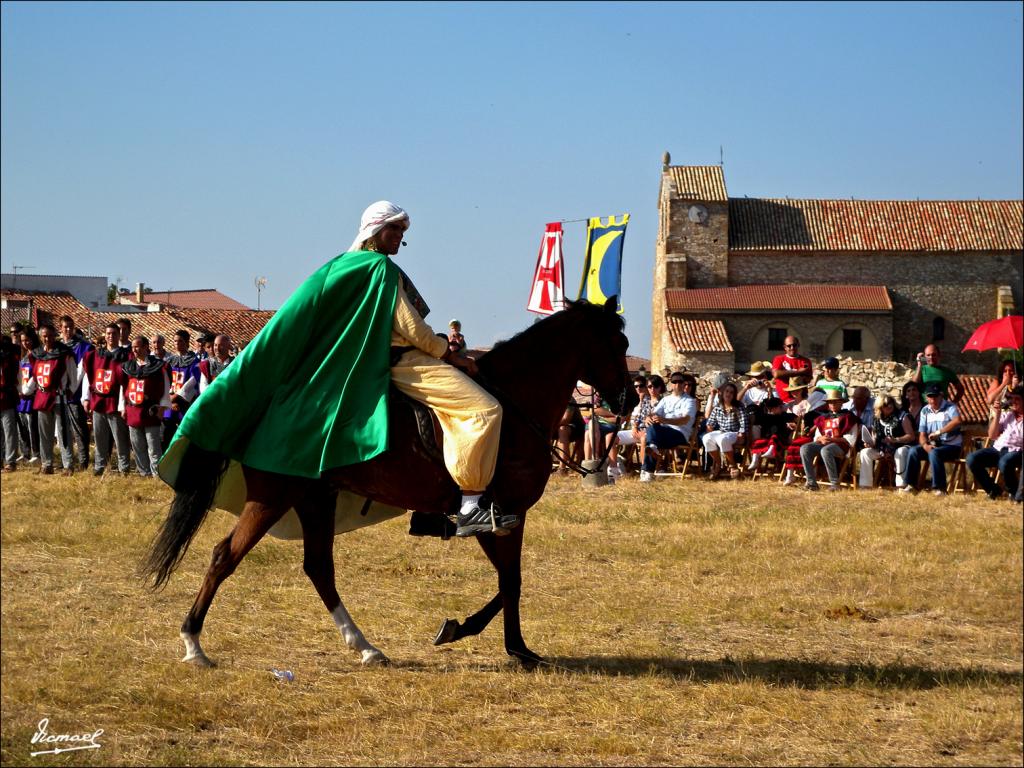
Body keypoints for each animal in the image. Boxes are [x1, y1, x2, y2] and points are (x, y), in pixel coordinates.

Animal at [136, 296, 630, 671]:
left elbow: (509, 580)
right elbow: (511, 580)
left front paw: (473, 633)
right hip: (272, 499)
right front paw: (510, 646)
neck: (514, 405)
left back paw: (366, 647)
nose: (626, 400)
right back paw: (194, 645)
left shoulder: (503, 518)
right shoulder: (503, 514)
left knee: (319, 568)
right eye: (618, 343)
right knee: (226, 556)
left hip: (315, 500)